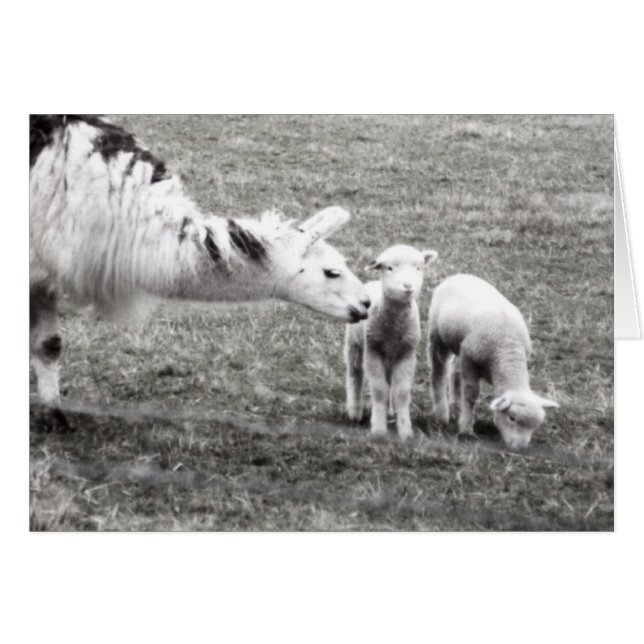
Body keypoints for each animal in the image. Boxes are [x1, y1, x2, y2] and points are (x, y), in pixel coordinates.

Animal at [345, 245, 438, 439]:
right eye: (389, 268)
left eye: (418, 268)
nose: (408, 286)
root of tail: (371, 283)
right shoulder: (372, 351)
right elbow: (380, 390)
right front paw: (378, 430)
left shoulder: (407, 353)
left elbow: (400, 392)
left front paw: (405, 432)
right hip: (355, 343)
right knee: (354, 374)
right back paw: (354, 412)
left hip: (389, 356)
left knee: (388, 382)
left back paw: (388, 412)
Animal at [427, 273, 559, 449]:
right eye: (512, 418)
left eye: (535, 426)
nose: (520, 447)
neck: (507, 348)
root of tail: (460, 275)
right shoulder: (470, 360)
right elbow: (471, 394)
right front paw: (466, 428)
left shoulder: (468, 354)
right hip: (437, 335)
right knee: (439, 369)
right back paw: (441, 414)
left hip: (461, 345)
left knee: (455, 369)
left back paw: (455, 407)